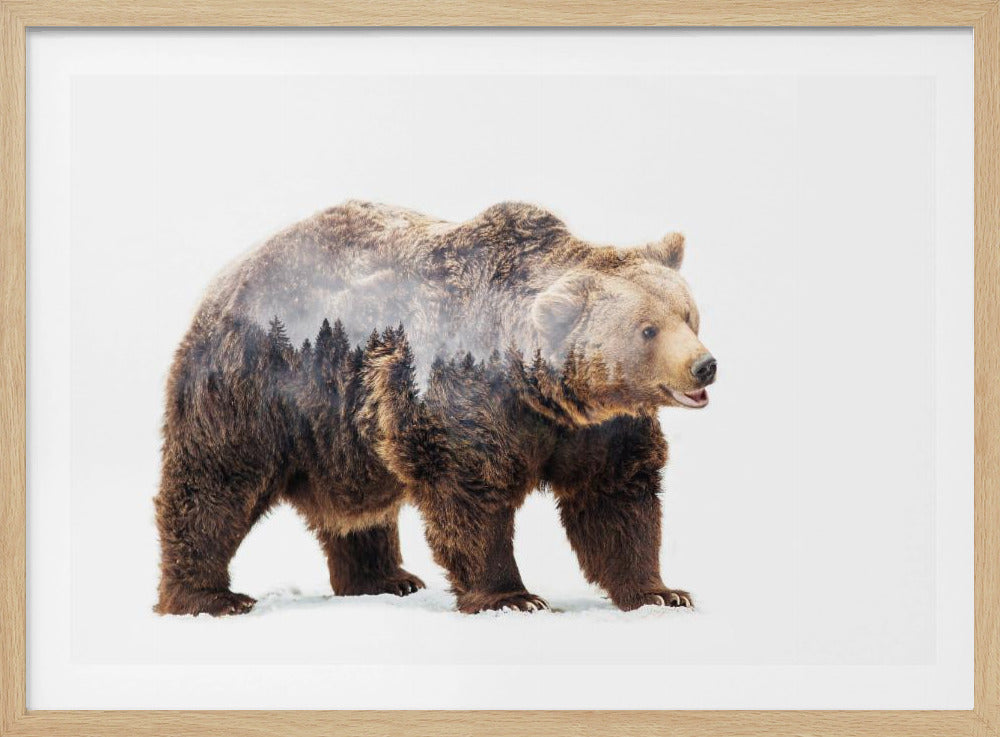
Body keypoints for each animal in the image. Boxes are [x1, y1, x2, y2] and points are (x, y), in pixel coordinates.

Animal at [153, 201, 716, 616]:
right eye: (647, 329)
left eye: (688, 314)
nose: (704, 366)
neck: (542, 391)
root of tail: (226, 277)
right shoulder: (463, 396)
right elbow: (470, 494)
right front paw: (513, 597)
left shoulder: (598, 430)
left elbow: (616, 499)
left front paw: (661, 591)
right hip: (257, 385)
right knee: (217, 482)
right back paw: (208, 596)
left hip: (342, 433)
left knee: (357, 511)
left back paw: (385, 578)